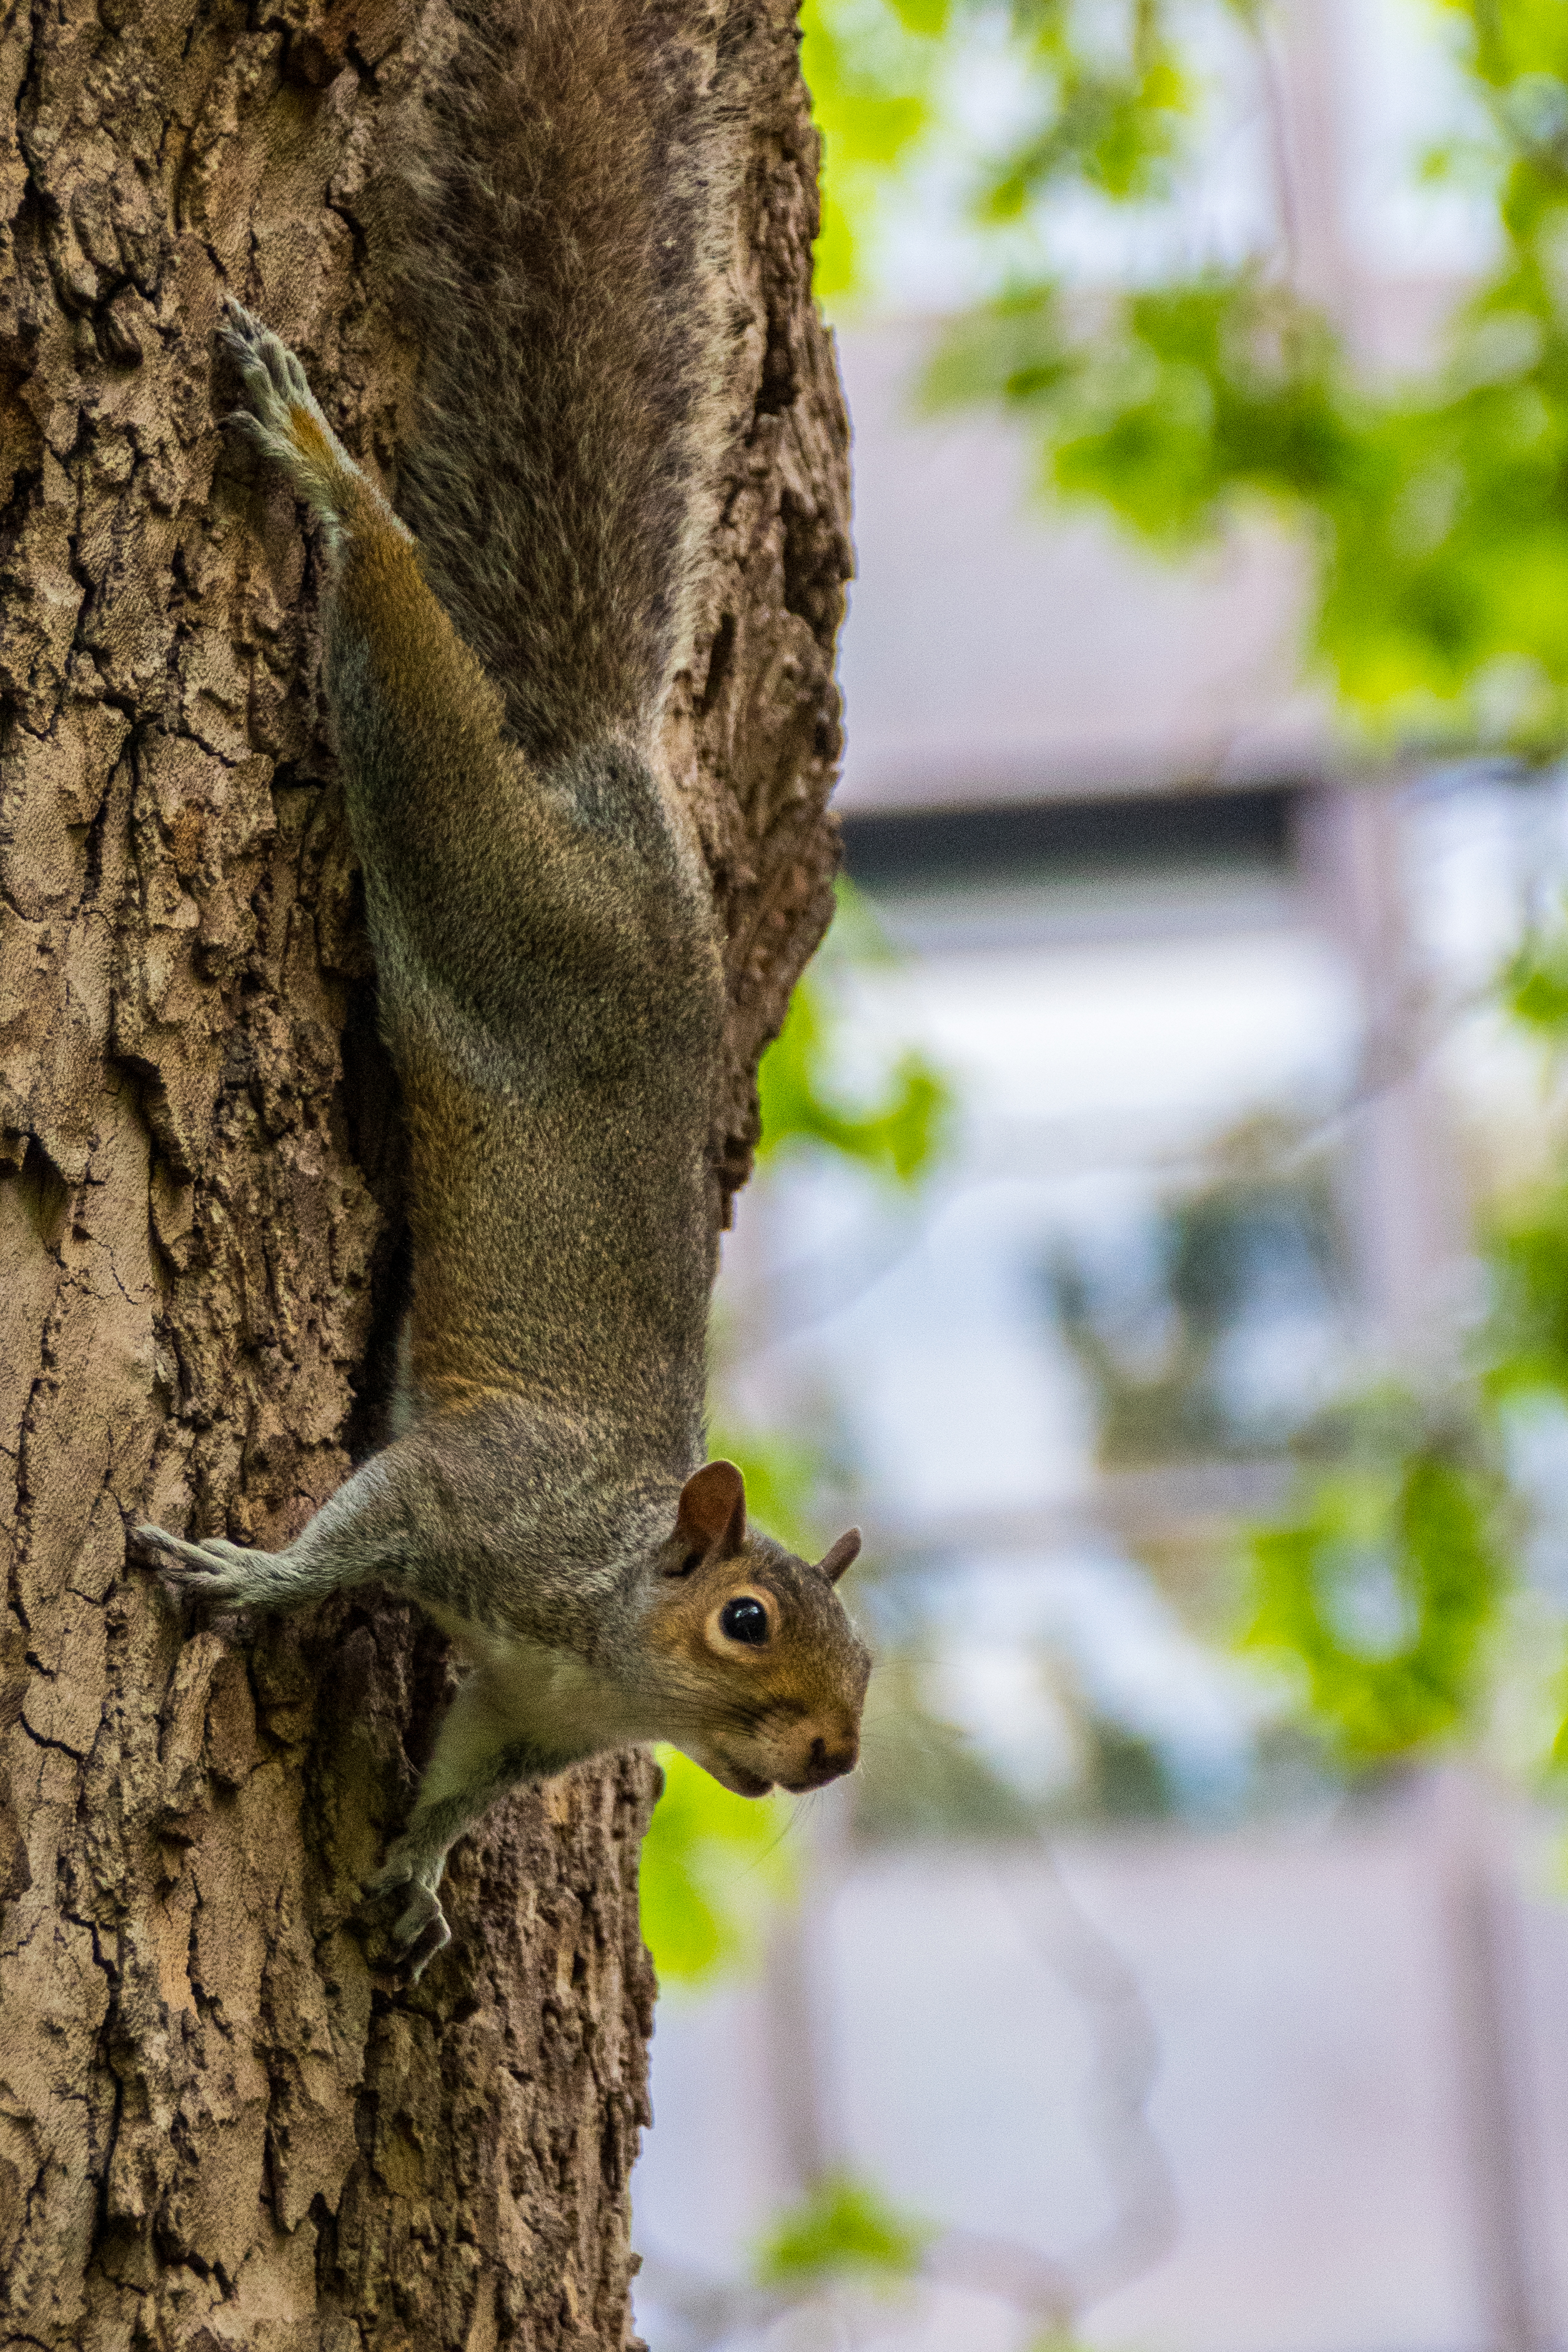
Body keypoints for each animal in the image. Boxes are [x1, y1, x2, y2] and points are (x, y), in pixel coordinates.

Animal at [135, 0, 870, 1985]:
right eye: (750, 1621)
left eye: (868, 1654)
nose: (834, 1755)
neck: (610, 1639)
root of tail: (600, 769)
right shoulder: (481, 1498)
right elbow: (364, 1524)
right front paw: (252, 1573)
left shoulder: (525, 1709)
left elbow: (459, 1771)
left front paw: (416, 1871)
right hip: (472, 856)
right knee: (397, 647)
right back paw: (319, 462)